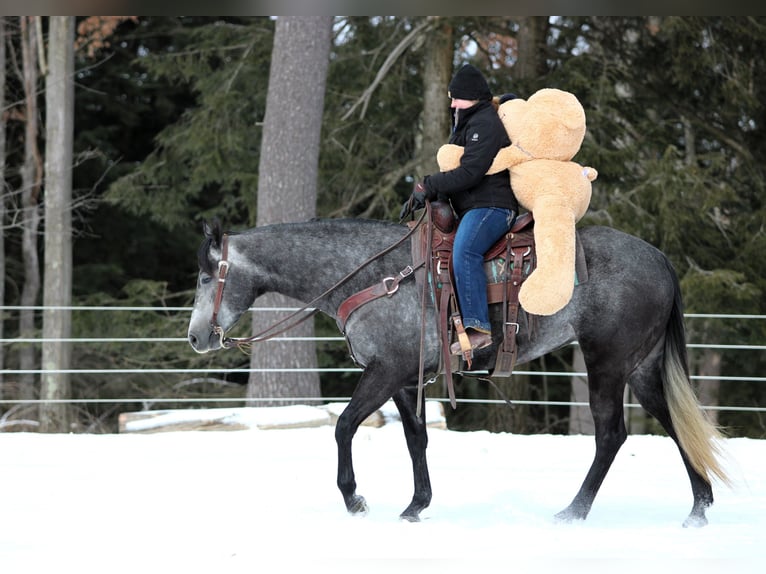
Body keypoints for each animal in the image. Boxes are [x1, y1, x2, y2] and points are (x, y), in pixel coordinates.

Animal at [188, 217, 732, 532]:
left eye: (204, 275)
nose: (195, 337)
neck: (374, 275)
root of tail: (659, 258)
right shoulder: (405, 380)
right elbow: (416, 440)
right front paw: (416, 505)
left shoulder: (385, 371)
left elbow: (343, 426)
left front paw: (355, 499)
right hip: (642, 367)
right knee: (676, 425)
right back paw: (699, 509)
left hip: (607, 363)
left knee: (611, 435)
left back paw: (573, 512)